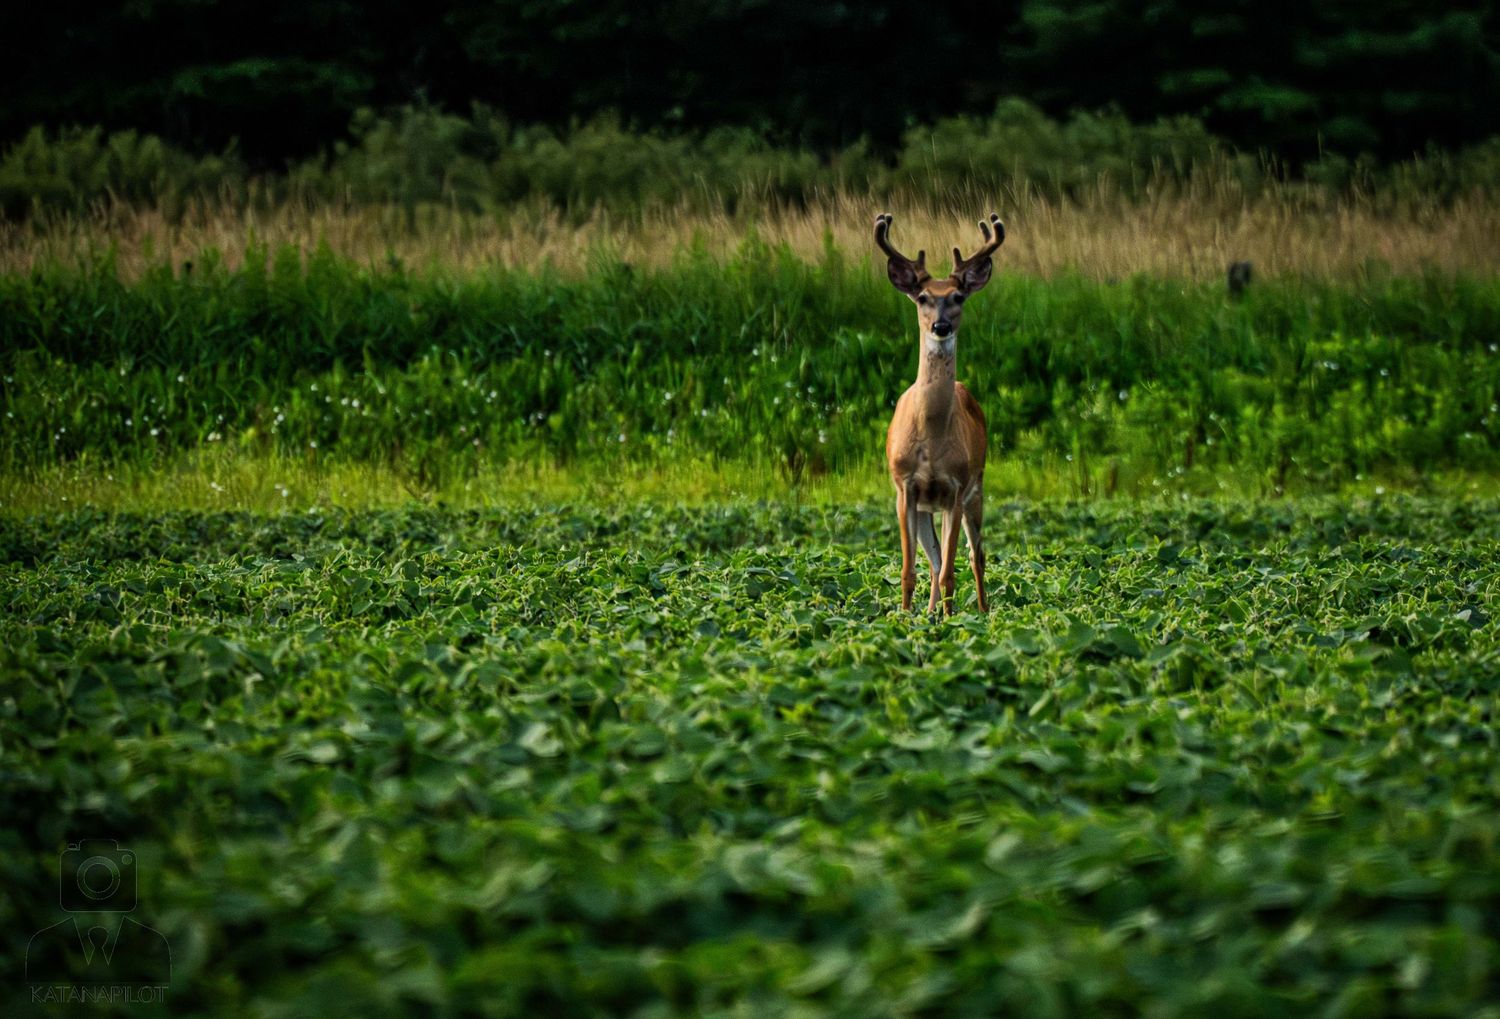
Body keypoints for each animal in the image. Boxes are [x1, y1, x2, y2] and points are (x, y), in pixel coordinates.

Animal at [876, 212, 1004, 615]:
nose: (941, 325)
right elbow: (909, 570)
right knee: (932, 559)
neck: (931, 437)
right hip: (924, 508)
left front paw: (952, 621)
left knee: (976, 556)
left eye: (958, 297)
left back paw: (981, 611)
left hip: (978, 489)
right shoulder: (905, 488)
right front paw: (904, 618)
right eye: (922, 298)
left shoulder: (955, 488)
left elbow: (951, 571)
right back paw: (930, 614)